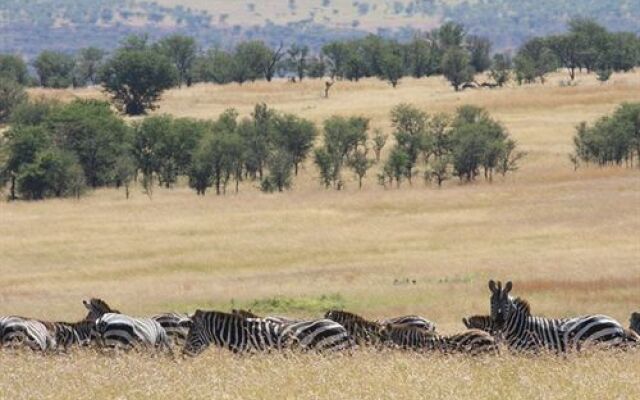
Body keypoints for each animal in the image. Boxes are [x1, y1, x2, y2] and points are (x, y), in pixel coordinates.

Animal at [490, 280, 636, 352]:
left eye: (507, 304)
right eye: (492, 302)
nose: (499, 321)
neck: (521, 327)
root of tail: (618, 325)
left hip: (602, 347)